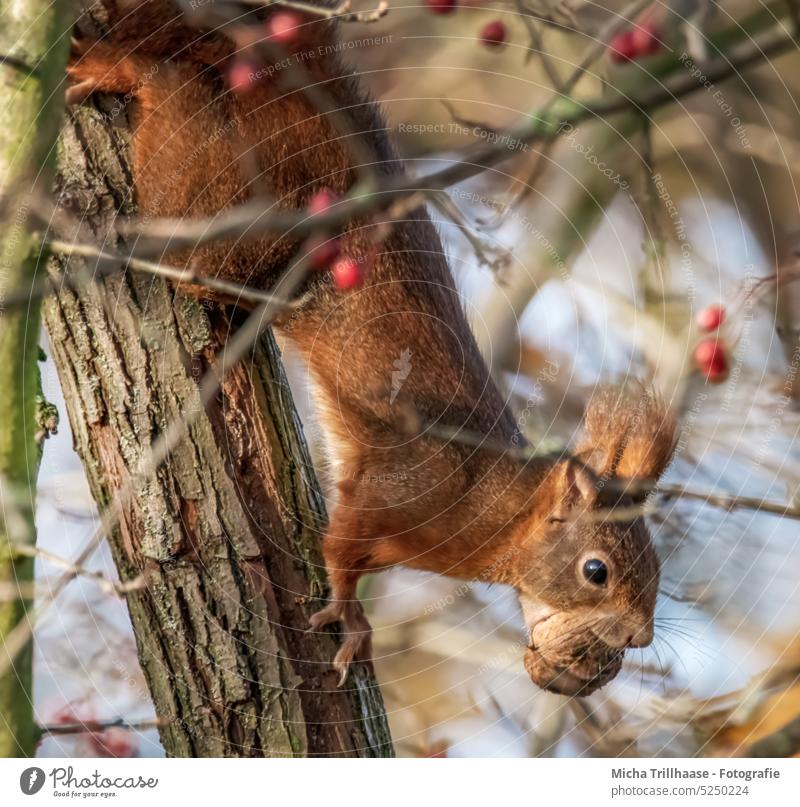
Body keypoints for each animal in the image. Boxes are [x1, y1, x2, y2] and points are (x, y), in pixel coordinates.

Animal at [67, 0, 676, 696]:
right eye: (595, 570)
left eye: (657, 568)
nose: (640, 637)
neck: (497, 510)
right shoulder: (400, 486)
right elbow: (341, 548)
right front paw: (351, 617)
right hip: (228, 217)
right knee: (174, 113)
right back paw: (117, 70)